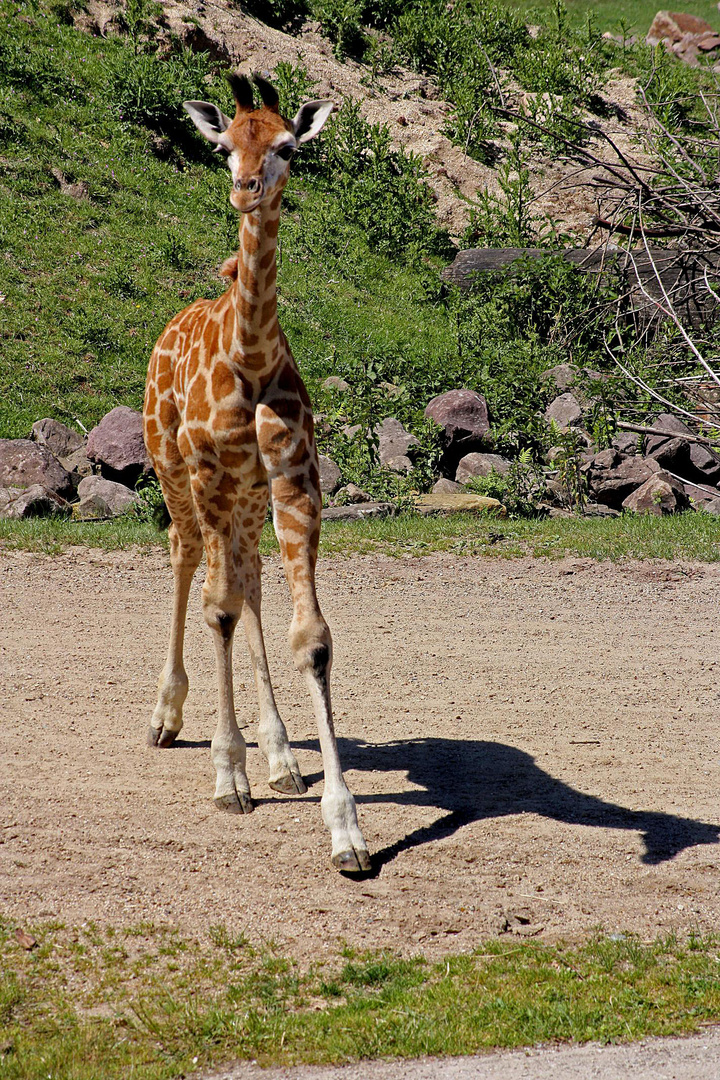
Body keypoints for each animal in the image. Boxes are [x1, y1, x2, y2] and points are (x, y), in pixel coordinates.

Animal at [142, 71, 371, 872]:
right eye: (222, 147)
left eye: (286, 145)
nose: (245, 188)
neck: (250, 358)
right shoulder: (209, 473)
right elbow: (216, 609)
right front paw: (228, 775)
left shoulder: (294, 478)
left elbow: (312, 635)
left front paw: (345, 829)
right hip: (172, 469)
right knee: (188, 560)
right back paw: (167, 716)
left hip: (244, 498)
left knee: (249, 582)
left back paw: (281, 757)